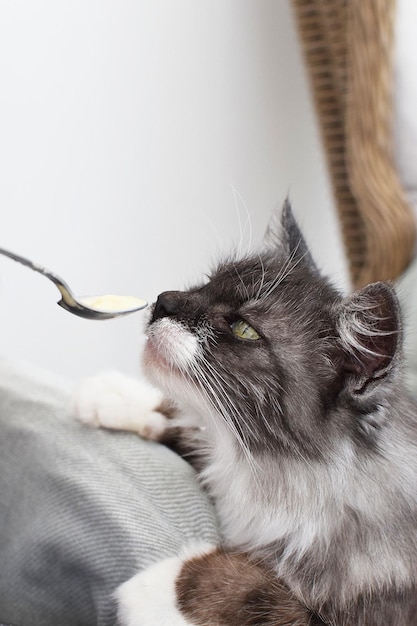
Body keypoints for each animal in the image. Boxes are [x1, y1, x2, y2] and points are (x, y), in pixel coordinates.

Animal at [74, 202, 416, 620]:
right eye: (206, 283)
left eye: (243, 329)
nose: (163, 301)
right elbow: (187, 420)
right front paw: (116, 396)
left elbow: (249, 588)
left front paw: (152, 585)